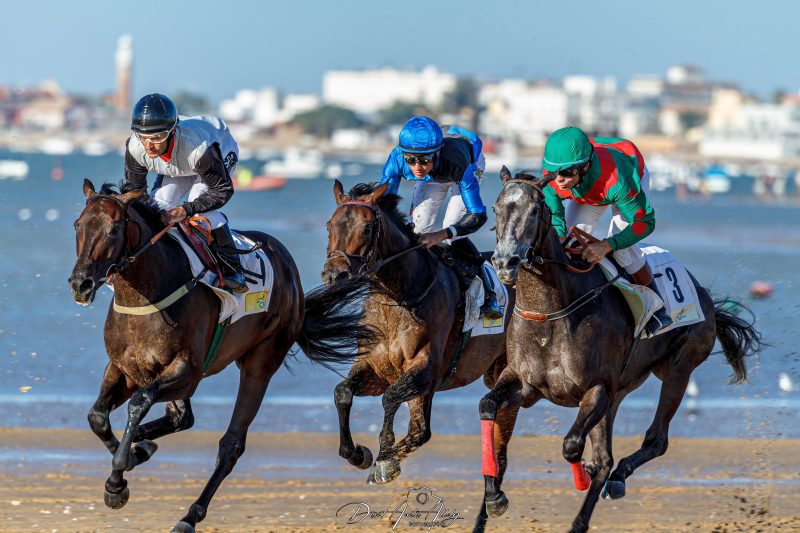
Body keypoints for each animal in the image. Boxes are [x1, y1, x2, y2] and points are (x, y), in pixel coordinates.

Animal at [68, 180, 374, 533]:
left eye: (115, 228)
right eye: (78, 225)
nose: (81, 283)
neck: (147, 295)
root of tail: (288, 266)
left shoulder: (187, 372)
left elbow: (139, 402)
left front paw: (117, 483)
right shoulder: (125, 368)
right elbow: (98, 416)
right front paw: (133, 453)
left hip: (260, 364)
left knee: (230, 445)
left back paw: (189, 515)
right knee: (182, 418)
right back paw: (144, 443)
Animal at [321, 180, 513, 484]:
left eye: (367, 228)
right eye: (330, 225)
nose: (334, 275)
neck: (399, 294)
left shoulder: (425, 371)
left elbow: (390, 398)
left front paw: (386, 458)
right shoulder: (375, 368)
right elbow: (342, 392)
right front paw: (357, 454)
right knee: (422, 430)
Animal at [476, 168, 763, 533]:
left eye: (535, 210)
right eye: (496, 208)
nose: (505, 262)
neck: (551, 313)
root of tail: (704, 294)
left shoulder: (597, 388)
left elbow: (572, 447)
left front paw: (584, 474)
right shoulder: (524, 385)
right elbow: (488, 407)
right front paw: (494, 496)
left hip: (679, 370)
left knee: (654, 440)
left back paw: (615, 479)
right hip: (621, 391)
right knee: (608, 454)